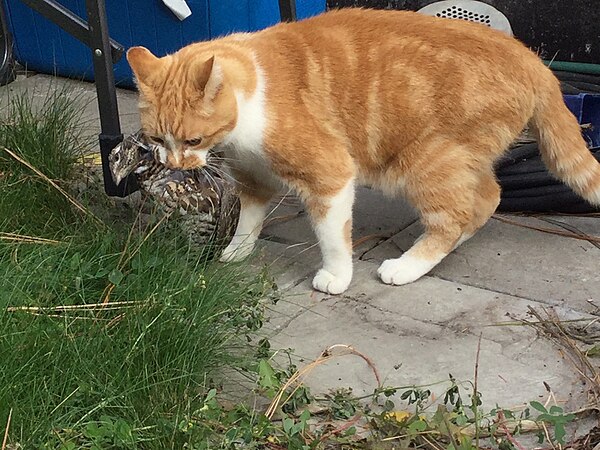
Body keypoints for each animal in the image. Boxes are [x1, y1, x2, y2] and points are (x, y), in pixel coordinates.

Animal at [125, 8, 600, 296]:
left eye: (192, 141)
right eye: (157, 140)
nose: (174, 165)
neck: (252, 98)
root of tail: (535, 62)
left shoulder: (330, 174)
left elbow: (333, 235)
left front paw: (336, 275)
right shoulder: (254, 176)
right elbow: (250, 218)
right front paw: (238, 251)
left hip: (426, 161)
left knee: (455, 215)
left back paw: (407, 266)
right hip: (456, 159)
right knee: (485, 199)